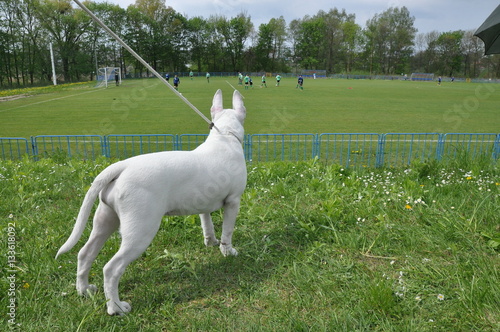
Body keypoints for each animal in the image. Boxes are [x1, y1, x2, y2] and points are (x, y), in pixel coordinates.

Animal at [55, 89, 247, 316]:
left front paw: (211, 243)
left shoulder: (204, 205)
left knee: (85, 254)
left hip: (105, 219)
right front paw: (228, 251)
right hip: (140, 230)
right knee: (111, 269)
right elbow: (228, 231)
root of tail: (122, 167)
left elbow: (206, 224)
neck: (225, 135)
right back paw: (116, 307)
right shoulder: (233, 202)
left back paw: (84, 290)